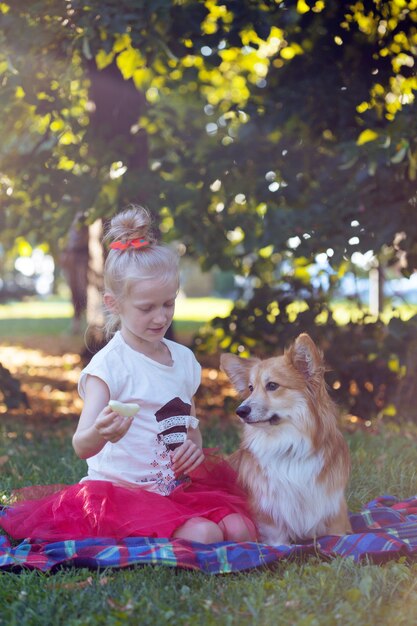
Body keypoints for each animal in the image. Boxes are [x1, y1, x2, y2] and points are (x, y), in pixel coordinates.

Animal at [221, 332, 352, 540]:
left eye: (272, 385)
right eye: (250, 388)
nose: (240, 411)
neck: (289, 446)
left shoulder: (334, 514)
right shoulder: (270, 519)